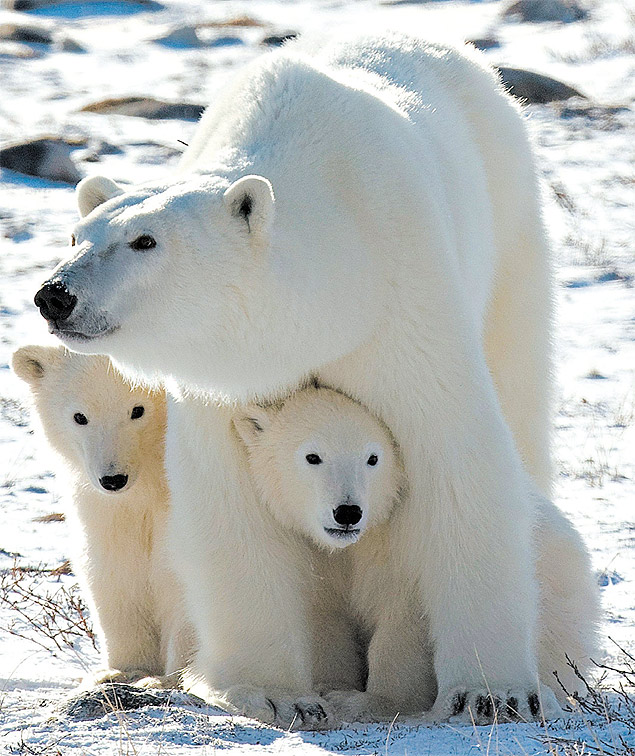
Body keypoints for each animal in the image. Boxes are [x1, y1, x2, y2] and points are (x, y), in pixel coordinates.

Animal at [12, 346, 191, 688]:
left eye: (138, 410)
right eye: (80, 416)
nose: (113, 479)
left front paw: (169, 679)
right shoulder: (105, 509)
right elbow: (114, 568)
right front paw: (123, 670)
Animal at [237, 386, 600, 724]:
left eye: (373, 458)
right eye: (312, 456)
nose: (348, 512)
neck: (356, 543)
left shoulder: (406, 544)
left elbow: (403, 624)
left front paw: (367, 701)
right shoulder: (315, 560)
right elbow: (325, 622)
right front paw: (329, 688)